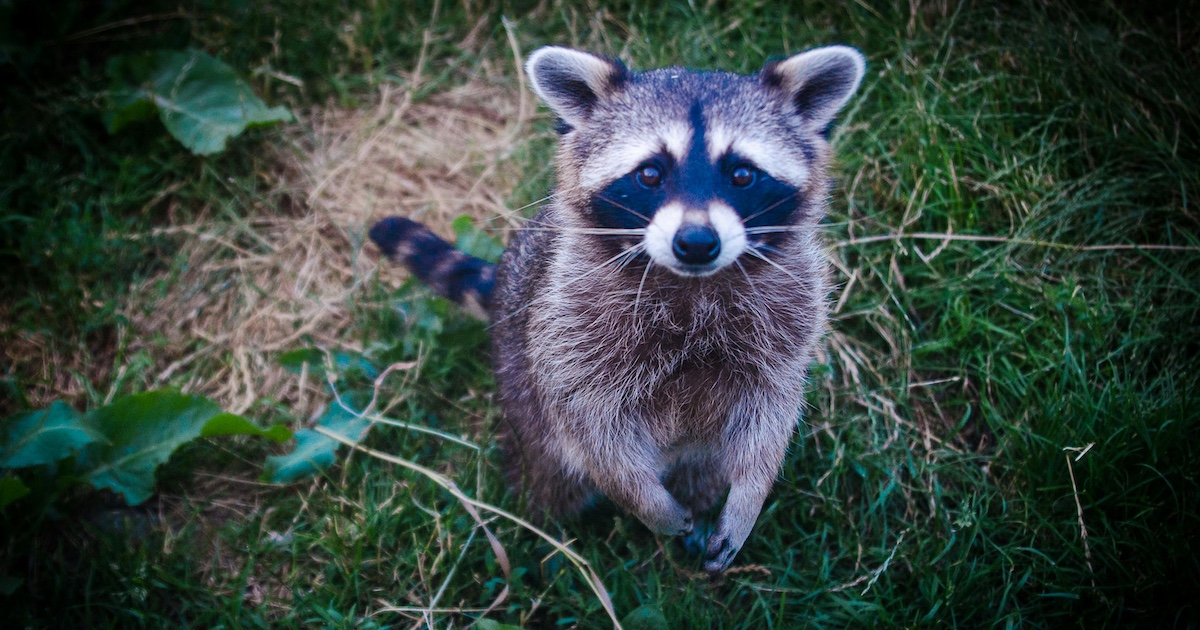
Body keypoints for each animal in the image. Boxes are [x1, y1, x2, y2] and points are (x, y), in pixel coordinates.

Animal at [370, 45, 865, 573]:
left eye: (742, 174)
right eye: (650, 173)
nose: (696, 242)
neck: (691, 283)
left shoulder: (789, 317)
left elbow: (771, 414)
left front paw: (749, 494)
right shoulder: (569, 327)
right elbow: (592, 429)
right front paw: (645, 501)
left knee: (705, 467)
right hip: (519, 379)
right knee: (547, 473)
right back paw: (545, 533)